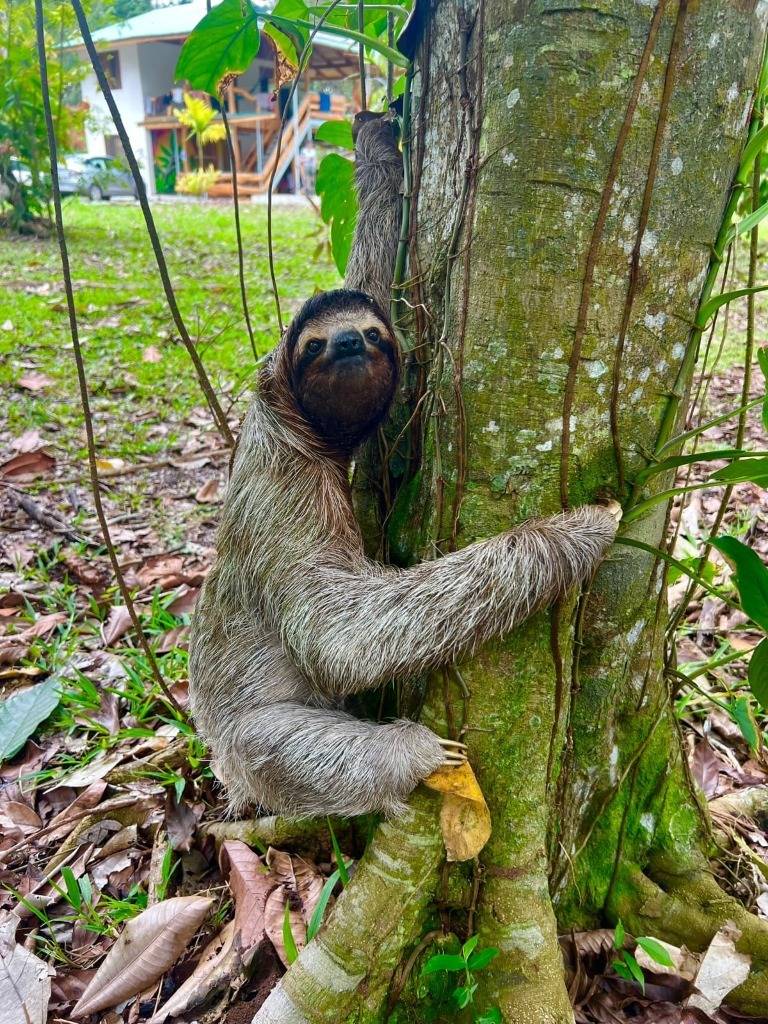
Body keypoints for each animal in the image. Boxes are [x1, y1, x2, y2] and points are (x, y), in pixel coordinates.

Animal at [187, 110, 621, 820]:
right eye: (314, 346)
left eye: (371, 335)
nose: (344, 343)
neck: (297, 426)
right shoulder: (289, 490)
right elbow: (344, 635)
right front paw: (586, 526)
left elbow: (369, 263)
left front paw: (376, 145)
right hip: (241, 746)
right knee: (285, 745)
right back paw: (414, 752)